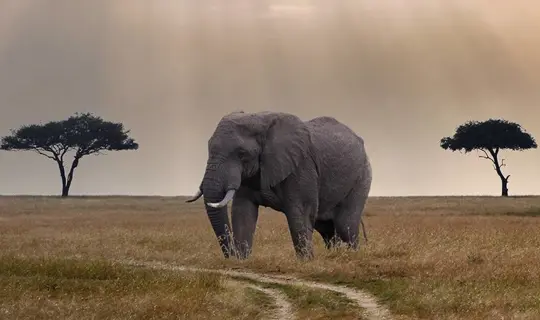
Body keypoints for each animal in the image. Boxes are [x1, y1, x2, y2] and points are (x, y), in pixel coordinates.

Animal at [186, 110, 372, 260]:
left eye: (242, 154)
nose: (231, 256)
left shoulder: (301, 166)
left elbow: (299, 213)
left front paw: (306, 263)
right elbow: (242, 212)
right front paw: (242, 261)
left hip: (361, 177)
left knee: (345, 225)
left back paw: (352, 257)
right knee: (327, 228)